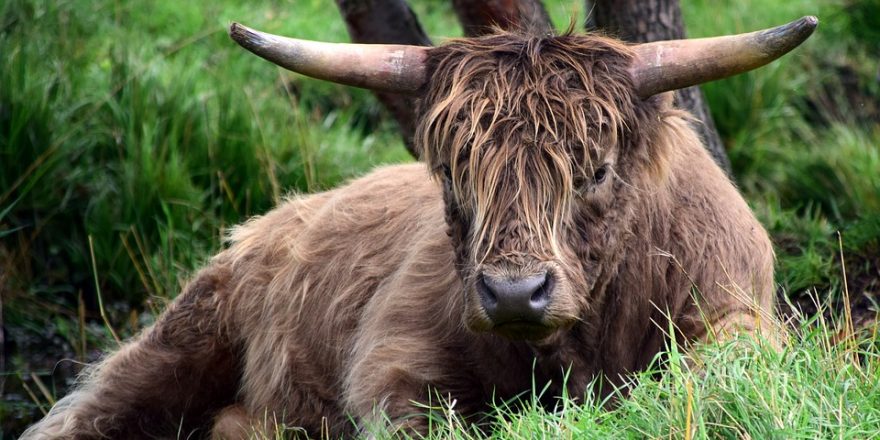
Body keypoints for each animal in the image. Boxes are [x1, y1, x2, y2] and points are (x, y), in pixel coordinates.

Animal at [22, 15, 820, 438]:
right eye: (452, 172)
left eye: (594, 170)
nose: (514, 293)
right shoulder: (395, 353)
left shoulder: (738, 312)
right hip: (176, 343)